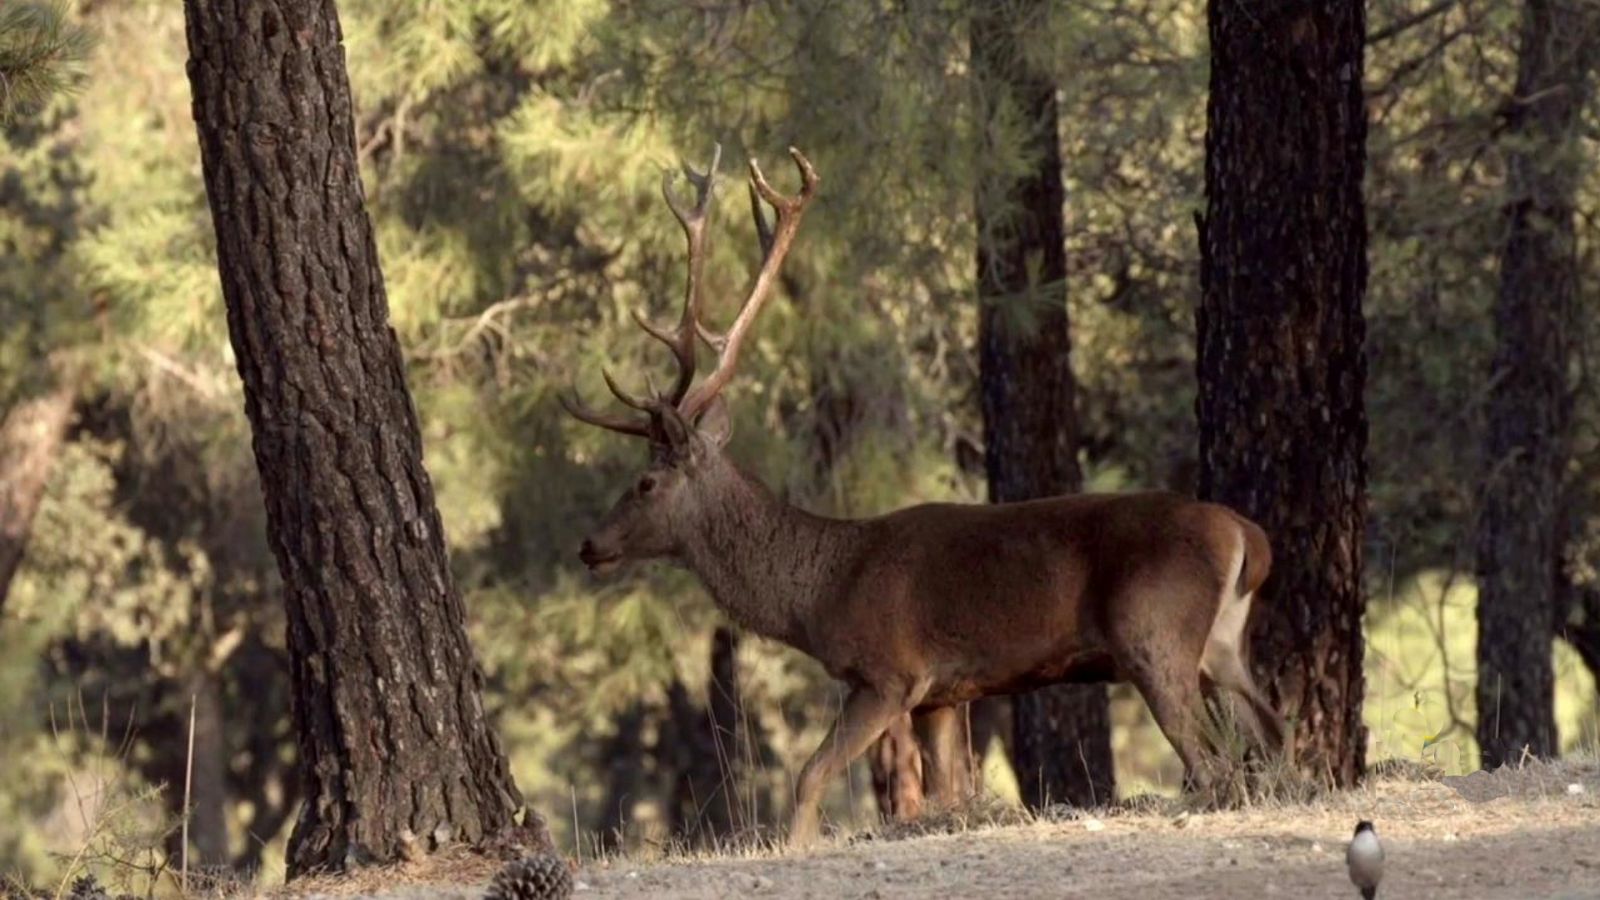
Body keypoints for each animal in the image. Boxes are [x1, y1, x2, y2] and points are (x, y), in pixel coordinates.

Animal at [563, 143, 1286, 845]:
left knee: (1218, 764)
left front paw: (797, 847)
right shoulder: (944, 694)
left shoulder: (889, 673)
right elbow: (950, 797)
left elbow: (809, 776)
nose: (589, 545)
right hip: (1223, 646)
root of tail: (1246, 535)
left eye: (644, 482)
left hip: (1153, 634)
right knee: (1274, 734)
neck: (819, 593)